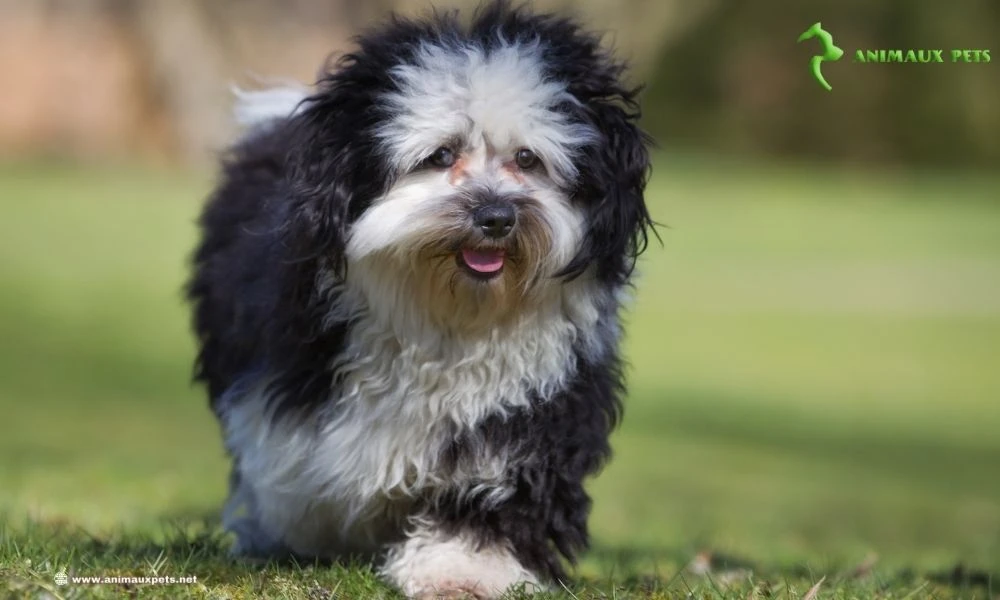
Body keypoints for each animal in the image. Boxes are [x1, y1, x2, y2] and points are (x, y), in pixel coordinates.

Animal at [188, 2, 656, 596]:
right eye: (440, 155)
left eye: (528, 159)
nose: (496, 217)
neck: (446, 315)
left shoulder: (533, 401)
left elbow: (497, 480)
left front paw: (464, 566)